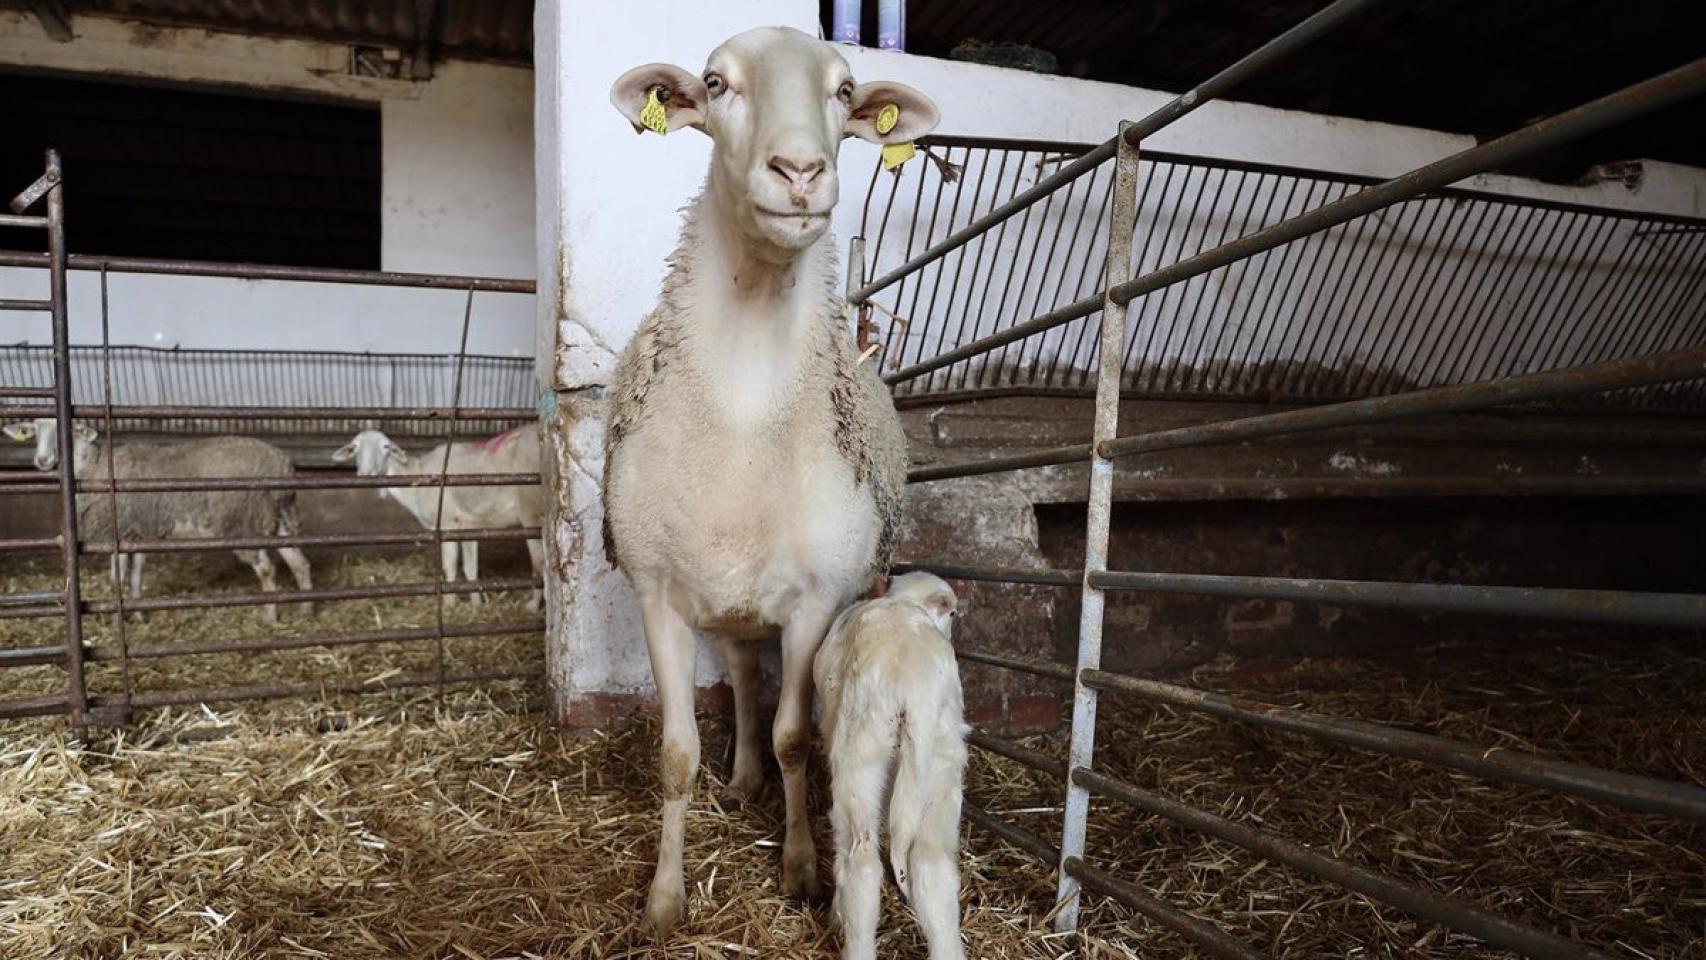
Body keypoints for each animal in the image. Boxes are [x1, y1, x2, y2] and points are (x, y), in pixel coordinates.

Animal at [4, 418, 313, 622]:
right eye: (34, 432)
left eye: (67, 431)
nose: (41, 459)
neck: (94, 466)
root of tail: (281, 464)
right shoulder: (138, 534)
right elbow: (136, 578)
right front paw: (140, 617)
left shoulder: (118, 531)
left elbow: (117, 580)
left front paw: (118, 619)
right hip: (279, 519)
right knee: (299, 562)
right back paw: (305, 609)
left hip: (242, 522)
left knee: (267, 569)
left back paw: (270, 616)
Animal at [333, 427, 545, 612]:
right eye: (354, 448)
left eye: (386, 446)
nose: (365, 474)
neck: (415, 479)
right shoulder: (468, 524)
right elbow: (470, 568)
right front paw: (476, 604)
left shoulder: (448, 523)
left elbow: (450, 566)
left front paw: (449, 604)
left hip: (531, 509)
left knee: (539, 562)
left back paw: (533, 606)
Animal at [603, 26, 937, 933]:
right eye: (716, 84)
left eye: (845, 90)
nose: (799, 172)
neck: (746, 415)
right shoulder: (657, 593)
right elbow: (676, 753)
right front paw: (664, 898)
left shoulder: (816, 601)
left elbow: (796, 738)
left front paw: (800, 869)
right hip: (725, 607)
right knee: (744, 685)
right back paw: (742, 776)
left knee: (760, 695)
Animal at [814, 572, 967, 960]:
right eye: (953, 614)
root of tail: (911, 688)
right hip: (942, 760)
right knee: (930, 863)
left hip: (858, 754)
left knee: (861, 861)